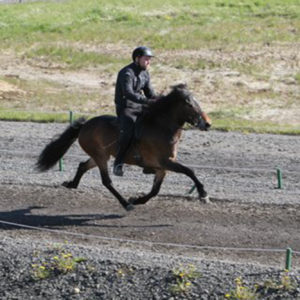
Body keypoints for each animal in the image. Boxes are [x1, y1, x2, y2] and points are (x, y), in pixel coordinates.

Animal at [36, 84, 211, 211]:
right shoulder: (165, 162)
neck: (161, 127)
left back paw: (72, 184)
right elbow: (189, 171)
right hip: (100, 157)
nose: (208, 124)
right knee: (107, 181)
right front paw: (203, 194)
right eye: (189, 104)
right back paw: (125, 204)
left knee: (83, 166)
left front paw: (137, 199)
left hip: (101, 155)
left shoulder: (162, 167)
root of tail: (85, 125)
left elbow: (155, 190)